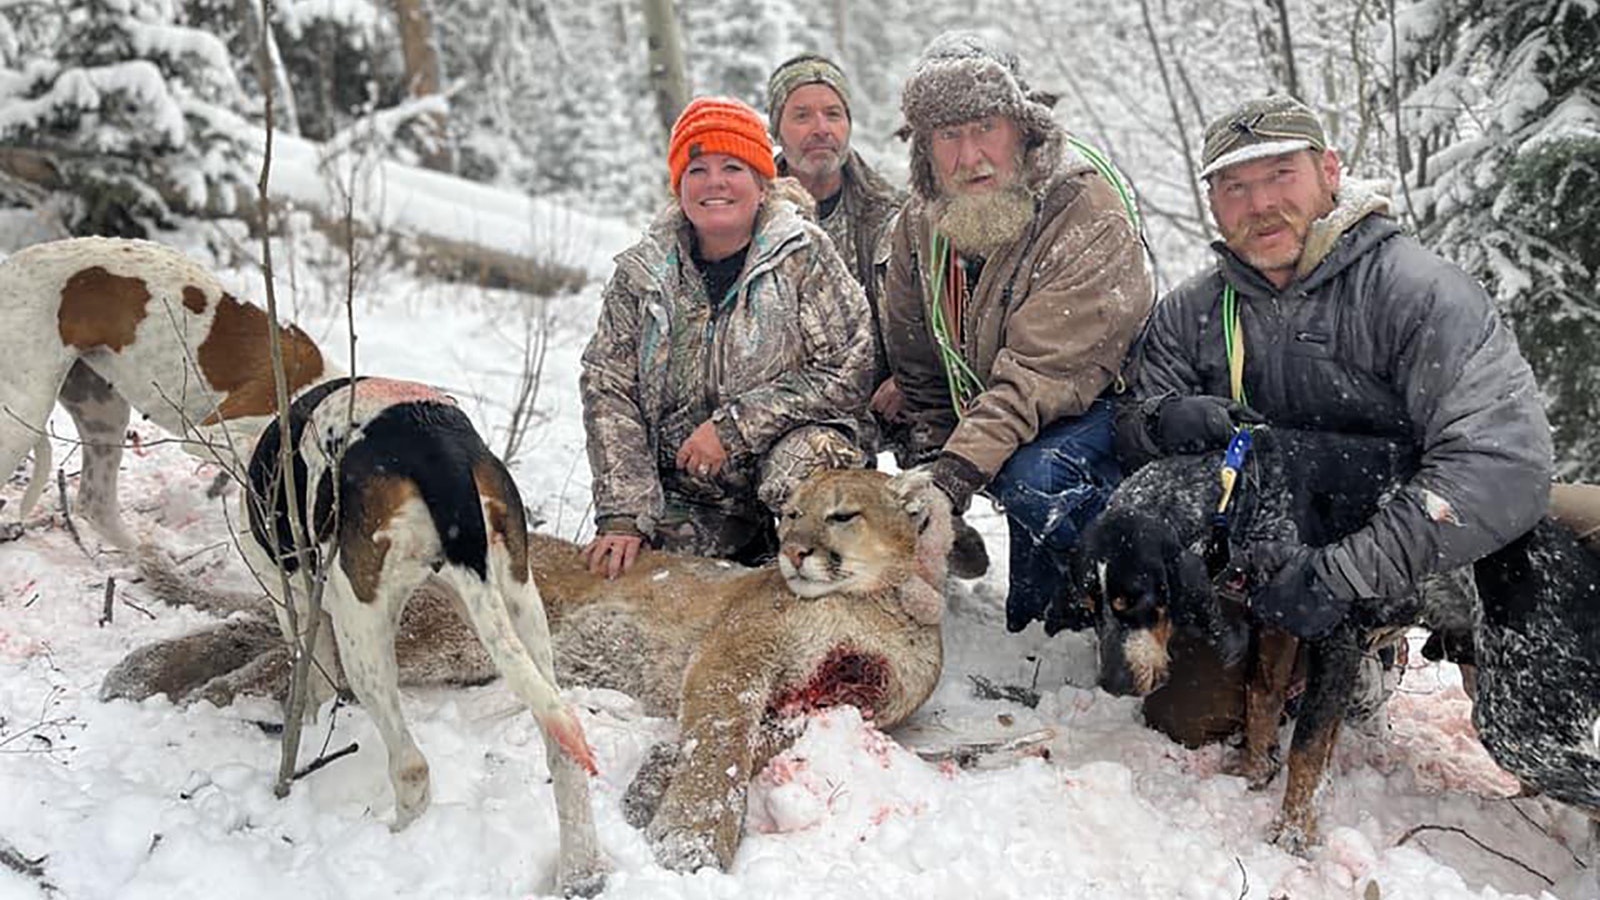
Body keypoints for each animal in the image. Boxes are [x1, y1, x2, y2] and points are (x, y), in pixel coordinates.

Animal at [101, 467, 956, 873]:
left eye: (841, 514)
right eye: (789, 516)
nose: (794, 551)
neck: (884, 608)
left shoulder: (823, 703)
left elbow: (735, 743)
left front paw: (649, 795)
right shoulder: (738, 654)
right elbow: (718, 742)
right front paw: (688, 840)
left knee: (272, 631)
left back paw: (149, 672)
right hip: (443, 632)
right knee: (297, 651)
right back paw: (194, 686)